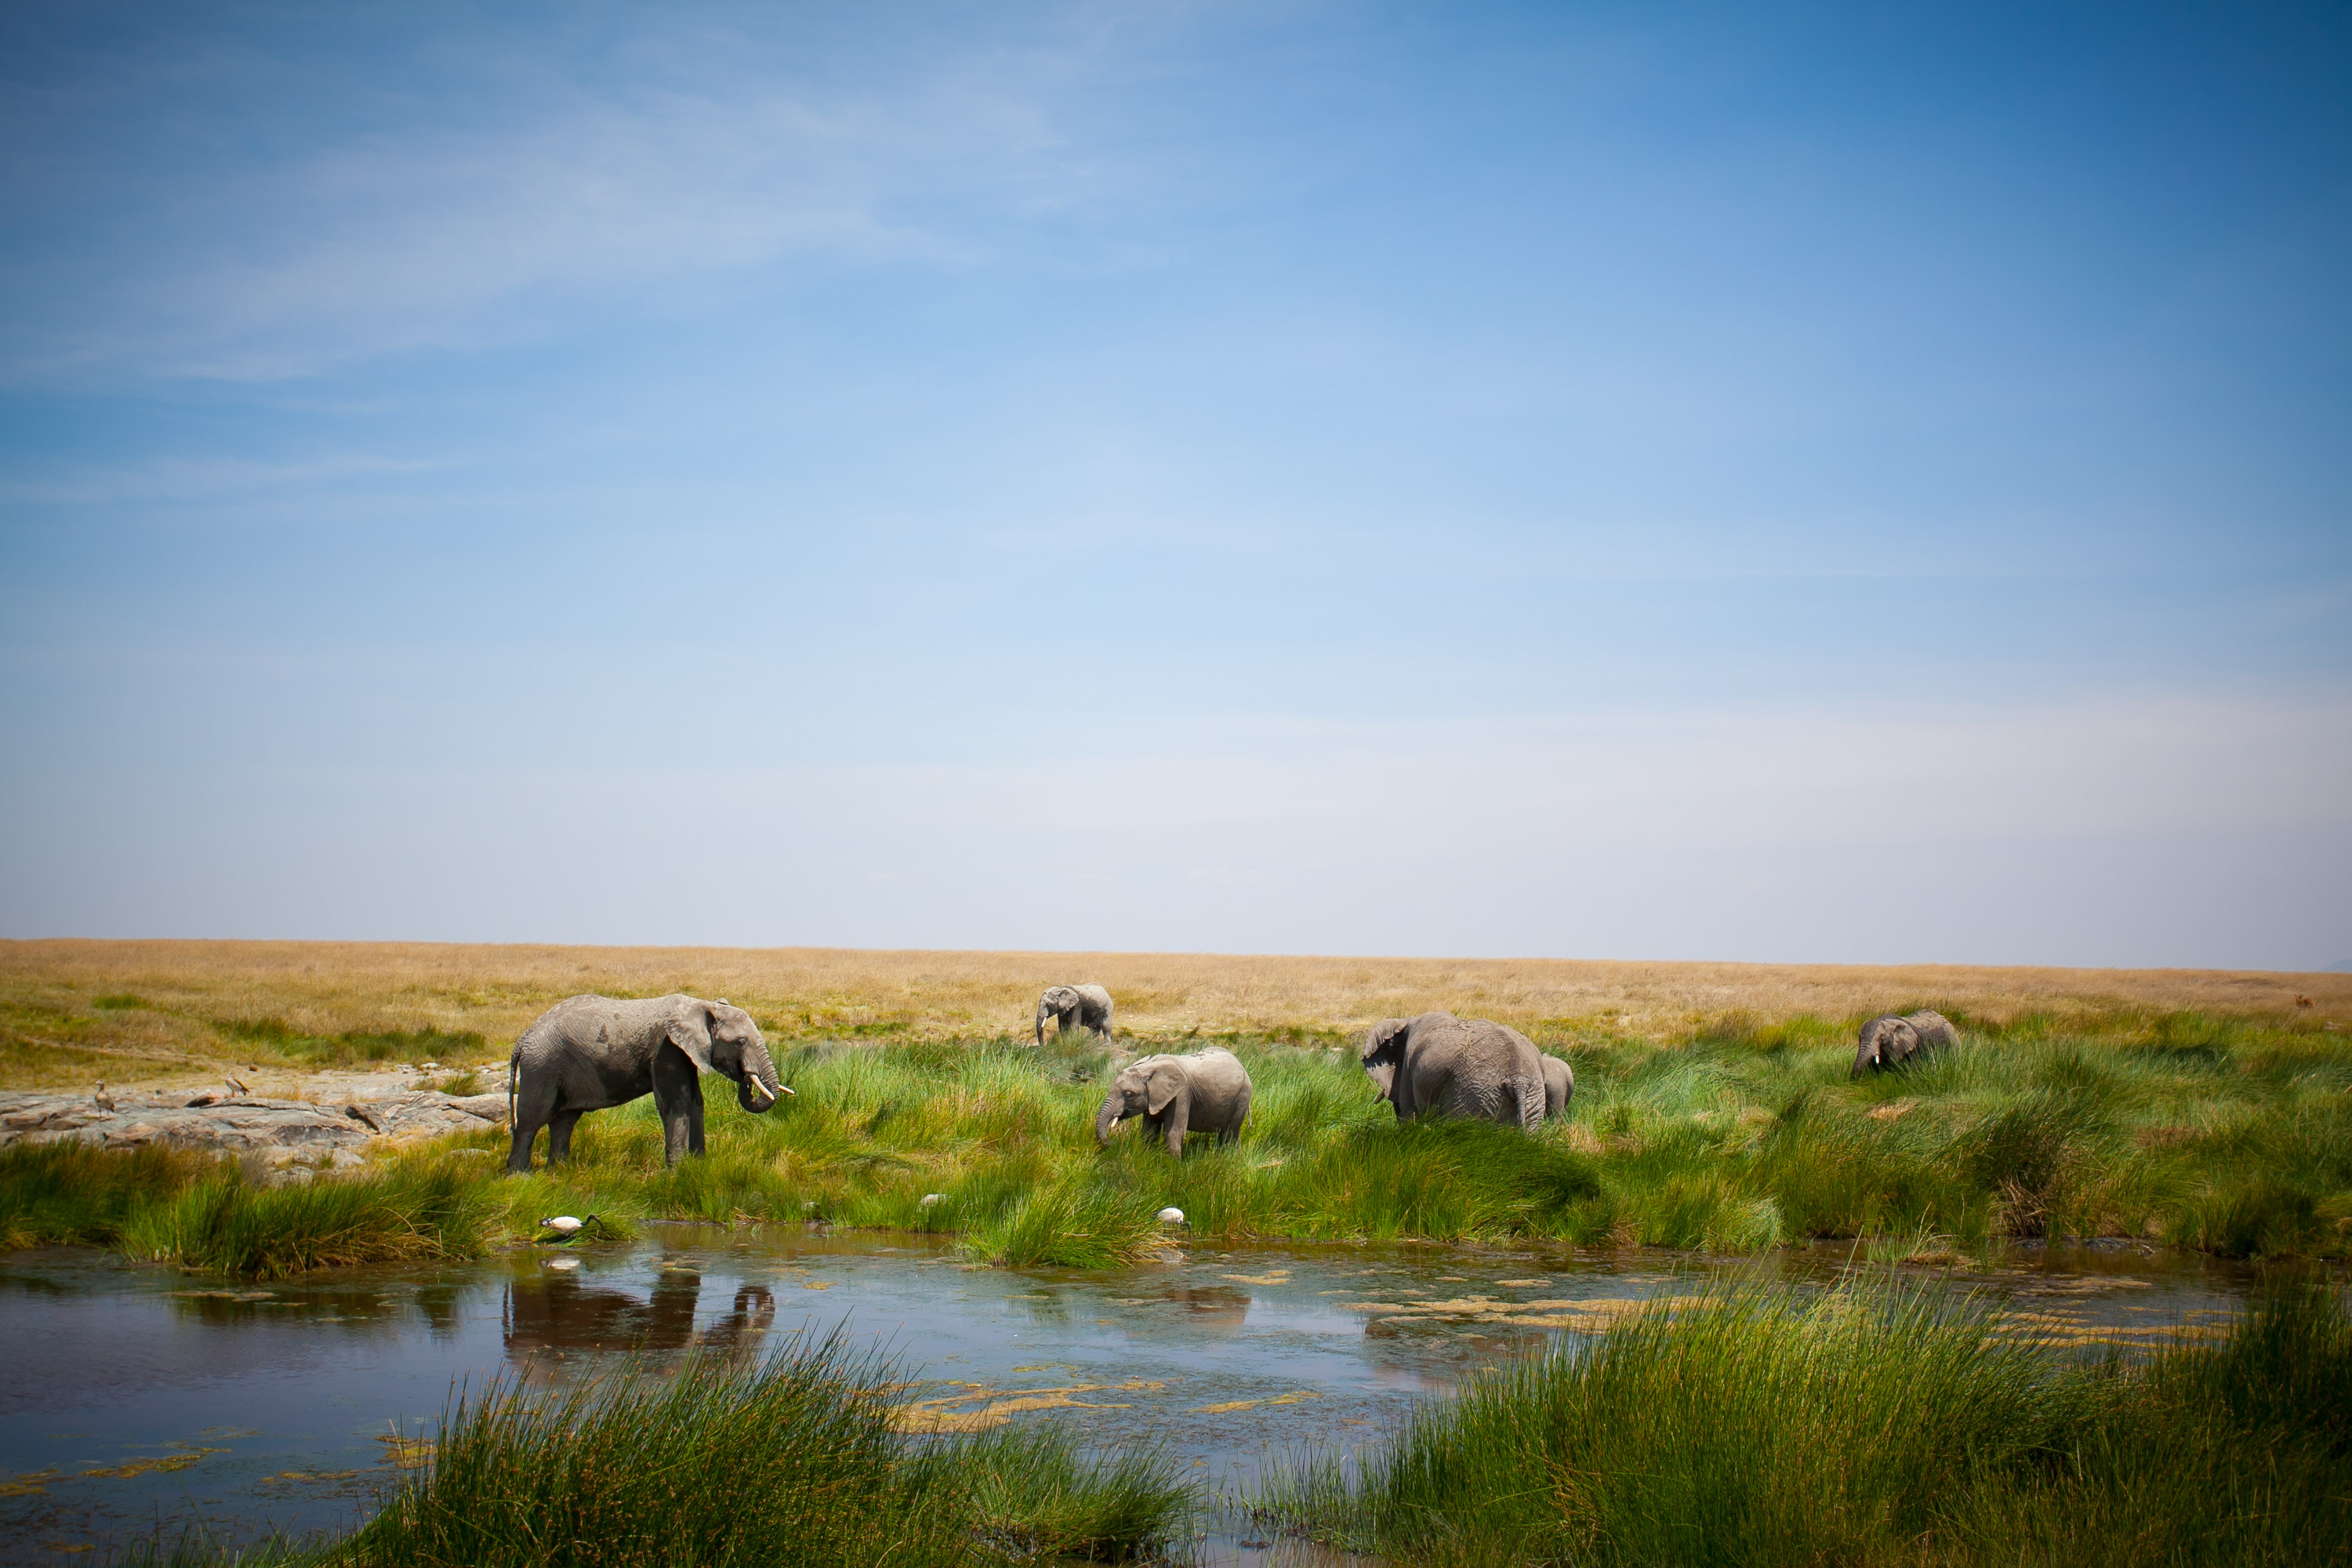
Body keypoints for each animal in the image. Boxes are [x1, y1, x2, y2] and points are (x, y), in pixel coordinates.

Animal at [506, 993, 790, 1172]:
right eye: (741, 1042)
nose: (747, 1075)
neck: (700, 1004)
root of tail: (522, 1041)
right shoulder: (666, 1049)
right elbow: (677, 1103)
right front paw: (677, 1172)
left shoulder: (685, 1053)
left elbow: (696, 1102)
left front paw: (699, 1166)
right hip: (542, 1067)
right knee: (532, 1119)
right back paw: (520, 1176)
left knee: (564, 1121)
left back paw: (560, 1171)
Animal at [1093, 1047, 1252, 1156]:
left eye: (1129, 1094)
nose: (1113, 1143)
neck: (1149, 1067)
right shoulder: (1154, 1099)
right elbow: (1149, 1131)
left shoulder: (1181, 1094)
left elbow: (1173, 1133)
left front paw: (1172, 1167)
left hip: (1243, 1097)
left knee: (1229, 1133)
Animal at [1360, 1012, 1545, 1131]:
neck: (1406, 1020)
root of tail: (1517, 1078)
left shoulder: (1408, 1070)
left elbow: (1409, 1115)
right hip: (1533, 1099)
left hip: (1474, 1095)